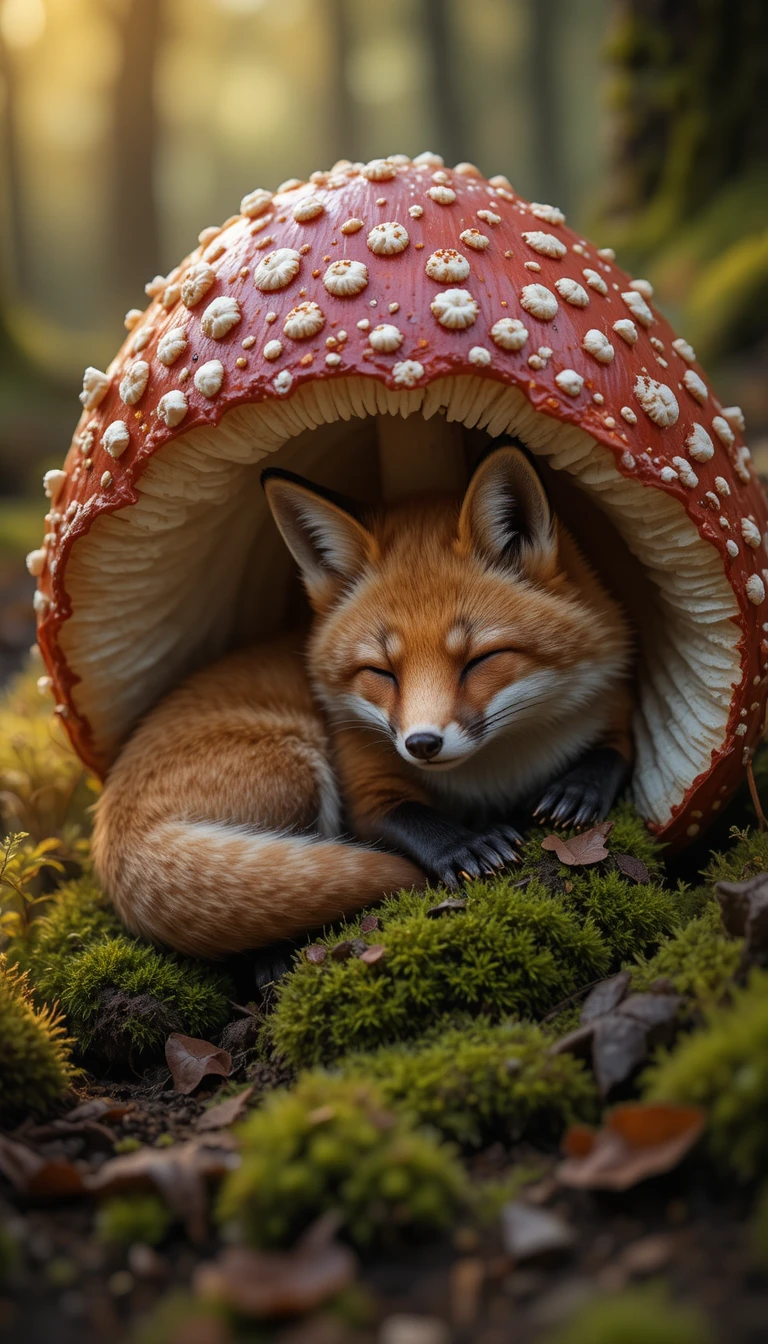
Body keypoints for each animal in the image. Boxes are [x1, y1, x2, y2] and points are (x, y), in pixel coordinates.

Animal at [92, 441, 634, 959]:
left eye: (479, 660)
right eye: (382, 672)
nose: (422, 744)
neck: (495, 774)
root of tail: (109, 828)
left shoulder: (607, 698)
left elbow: (617, 751)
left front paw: (578, 788)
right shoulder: (363, 786)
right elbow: (406, 819)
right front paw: (462, 844)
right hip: (299, 766)